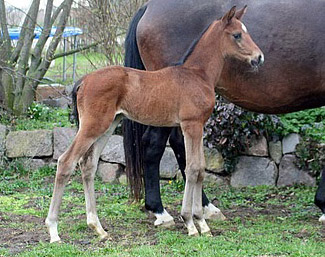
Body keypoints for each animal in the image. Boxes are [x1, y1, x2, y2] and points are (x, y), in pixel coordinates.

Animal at [46, 6, 264, 241]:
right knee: (66, 162)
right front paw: (191, 222)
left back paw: (98, 228)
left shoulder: (196, 126)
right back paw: (54, 230)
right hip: (93, 126)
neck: (198, 74)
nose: (259, 57)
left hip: (108, 126)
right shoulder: (191, 125)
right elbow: (193, 168)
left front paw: (202, 224)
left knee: (88, 165)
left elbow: (200, 168)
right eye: (237, 35)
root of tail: (83, 80)